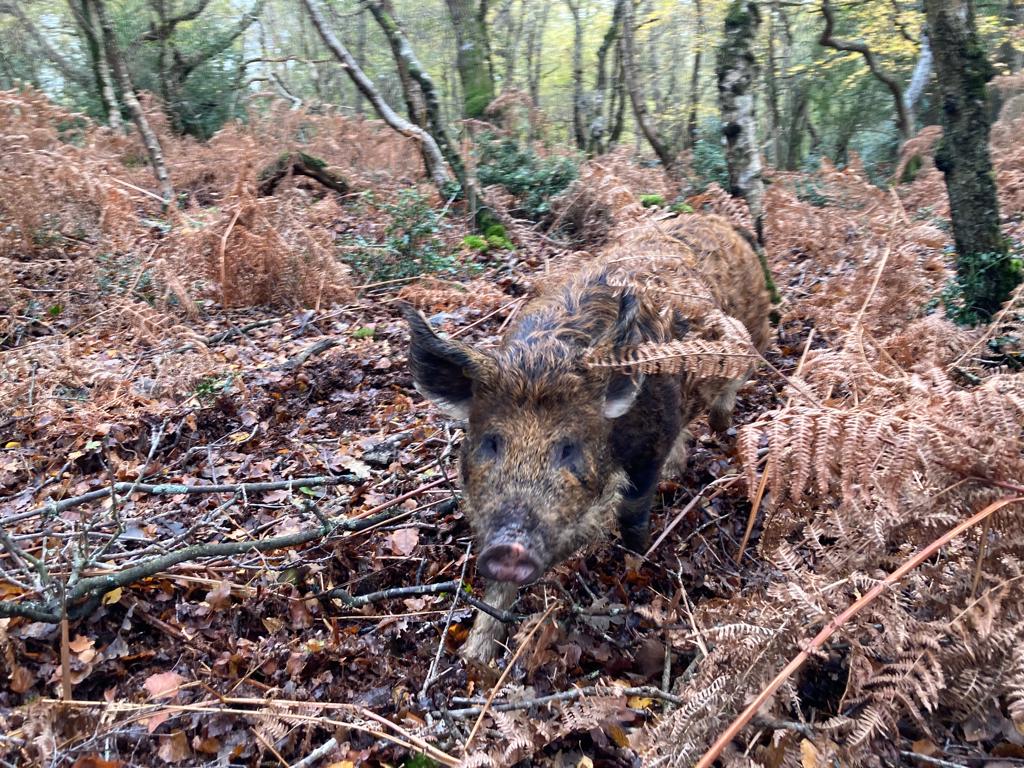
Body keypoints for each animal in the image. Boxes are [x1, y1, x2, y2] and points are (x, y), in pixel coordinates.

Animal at [401, 214, 771, 663]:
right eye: (491, 441)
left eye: (569, 448)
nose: (509, 548)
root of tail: (720, 221)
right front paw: (475, 656)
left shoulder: (649, 448)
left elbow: (633, 516)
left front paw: (635, 567)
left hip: (750, 336)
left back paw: (718, 429)